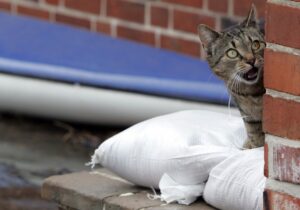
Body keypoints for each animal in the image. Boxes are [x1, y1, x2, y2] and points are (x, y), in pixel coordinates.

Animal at [199, 5, 264, 149]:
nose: (251, 60)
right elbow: (255, 133)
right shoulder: (249, 116)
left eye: (255, 44)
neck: (251, 93)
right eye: (232, 53)